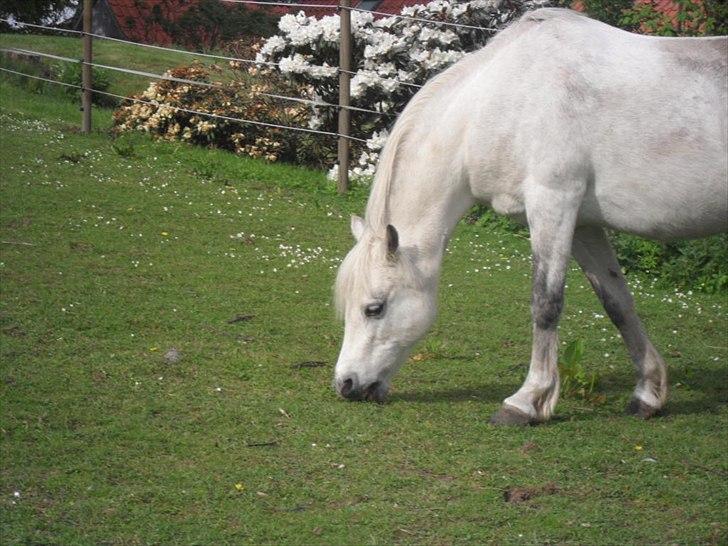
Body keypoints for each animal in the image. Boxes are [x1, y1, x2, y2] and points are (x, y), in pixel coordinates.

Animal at [332, 8, 728, 425]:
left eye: (374, 308)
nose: (346, 384)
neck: (500, 102)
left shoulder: (552, 205)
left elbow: (546, 304)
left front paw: (527, 401)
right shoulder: (583, 225)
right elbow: (617, 302)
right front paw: (648, 393)